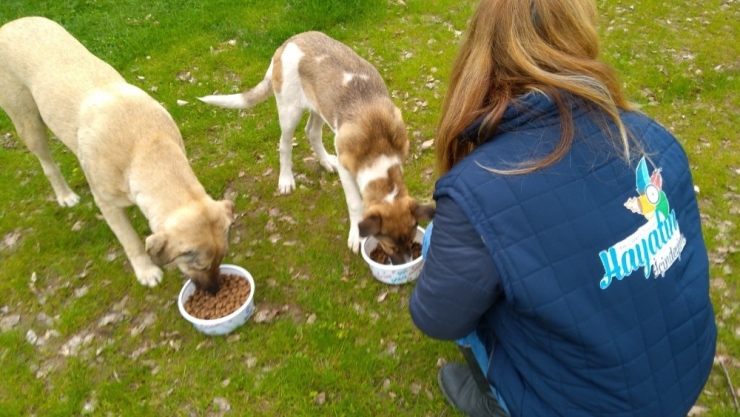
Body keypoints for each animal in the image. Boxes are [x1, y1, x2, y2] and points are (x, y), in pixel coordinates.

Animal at [0, 17, 234, 292]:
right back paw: (65, 196)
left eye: (221, 258)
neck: (147, 145)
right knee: (47, 163)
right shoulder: (107, 204)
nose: (215, 289)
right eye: (199, 266)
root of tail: (10, 24)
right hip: (29, 123)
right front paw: (146, 271)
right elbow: (131, 241)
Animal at [199, 30, 436, 262]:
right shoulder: (347, 168)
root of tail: (287, 43)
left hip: (320, 106)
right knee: (285, 145)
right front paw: (356, 237)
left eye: (412, 241)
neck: (379, 147)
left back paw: (325, 162)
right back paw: (286, 180)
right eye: (390, 247)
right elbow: (355, 203)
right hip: (289, 112)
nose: (407, 263)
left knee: (312, 132)